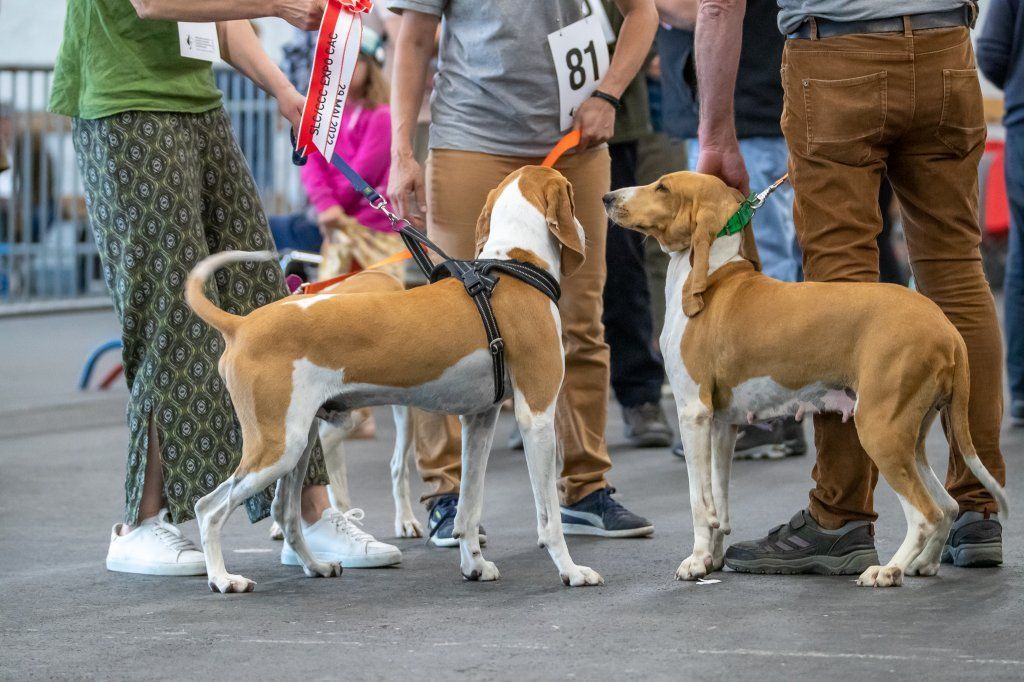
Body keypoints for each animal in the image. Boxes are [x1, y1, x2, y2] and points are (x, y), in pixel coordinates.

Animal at [188, 164, 602, 589]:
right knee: (209, 508)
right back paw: (223, 578)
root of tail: (242, 325)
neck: (515, 267)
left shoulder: (479, 421)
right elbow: (549, 518)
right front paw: (571, 571)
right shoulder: (536, 417)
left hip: (298, 443)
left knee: (285, 513)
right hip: (278, 447)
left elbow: (469, 507)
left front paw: (474, 565)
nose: (590, 227)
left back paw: (317, 565)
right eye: (572, 194)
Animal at [606, 169, 1007, 585]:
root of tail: (946, 327)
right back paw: (923, 564)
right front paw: (712, 559)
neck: (714, 276)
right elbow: (719, 501)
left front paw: (696, 562)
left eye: (662, 188)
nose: (608, 197)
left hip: (879, 429)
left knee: (926, 512)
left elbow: (699, 502)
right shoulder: (721, 424)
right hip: (908, 437)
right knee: (948, 505)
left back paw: (888, 570)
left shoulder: (693, 414)